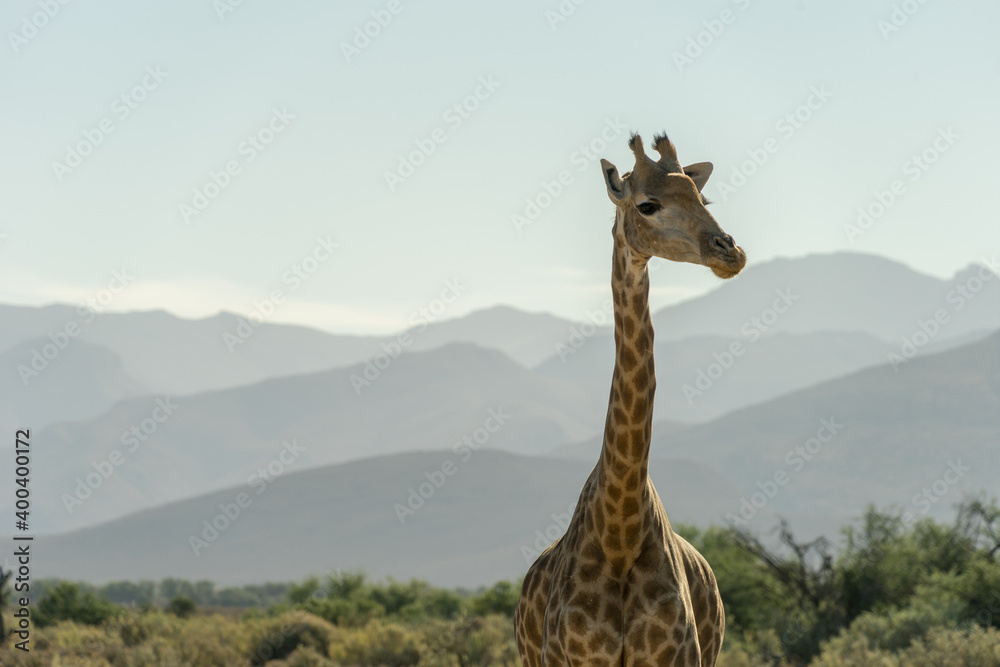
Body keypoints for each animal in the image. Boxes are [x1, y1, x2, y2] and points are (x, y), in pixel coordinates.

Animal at [514, 133, 746, 667]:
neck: (618, 533)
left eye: (703, 199)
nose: (731, 252)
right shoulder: (570, 659)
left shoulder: (680, 656)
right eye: (648, 204)